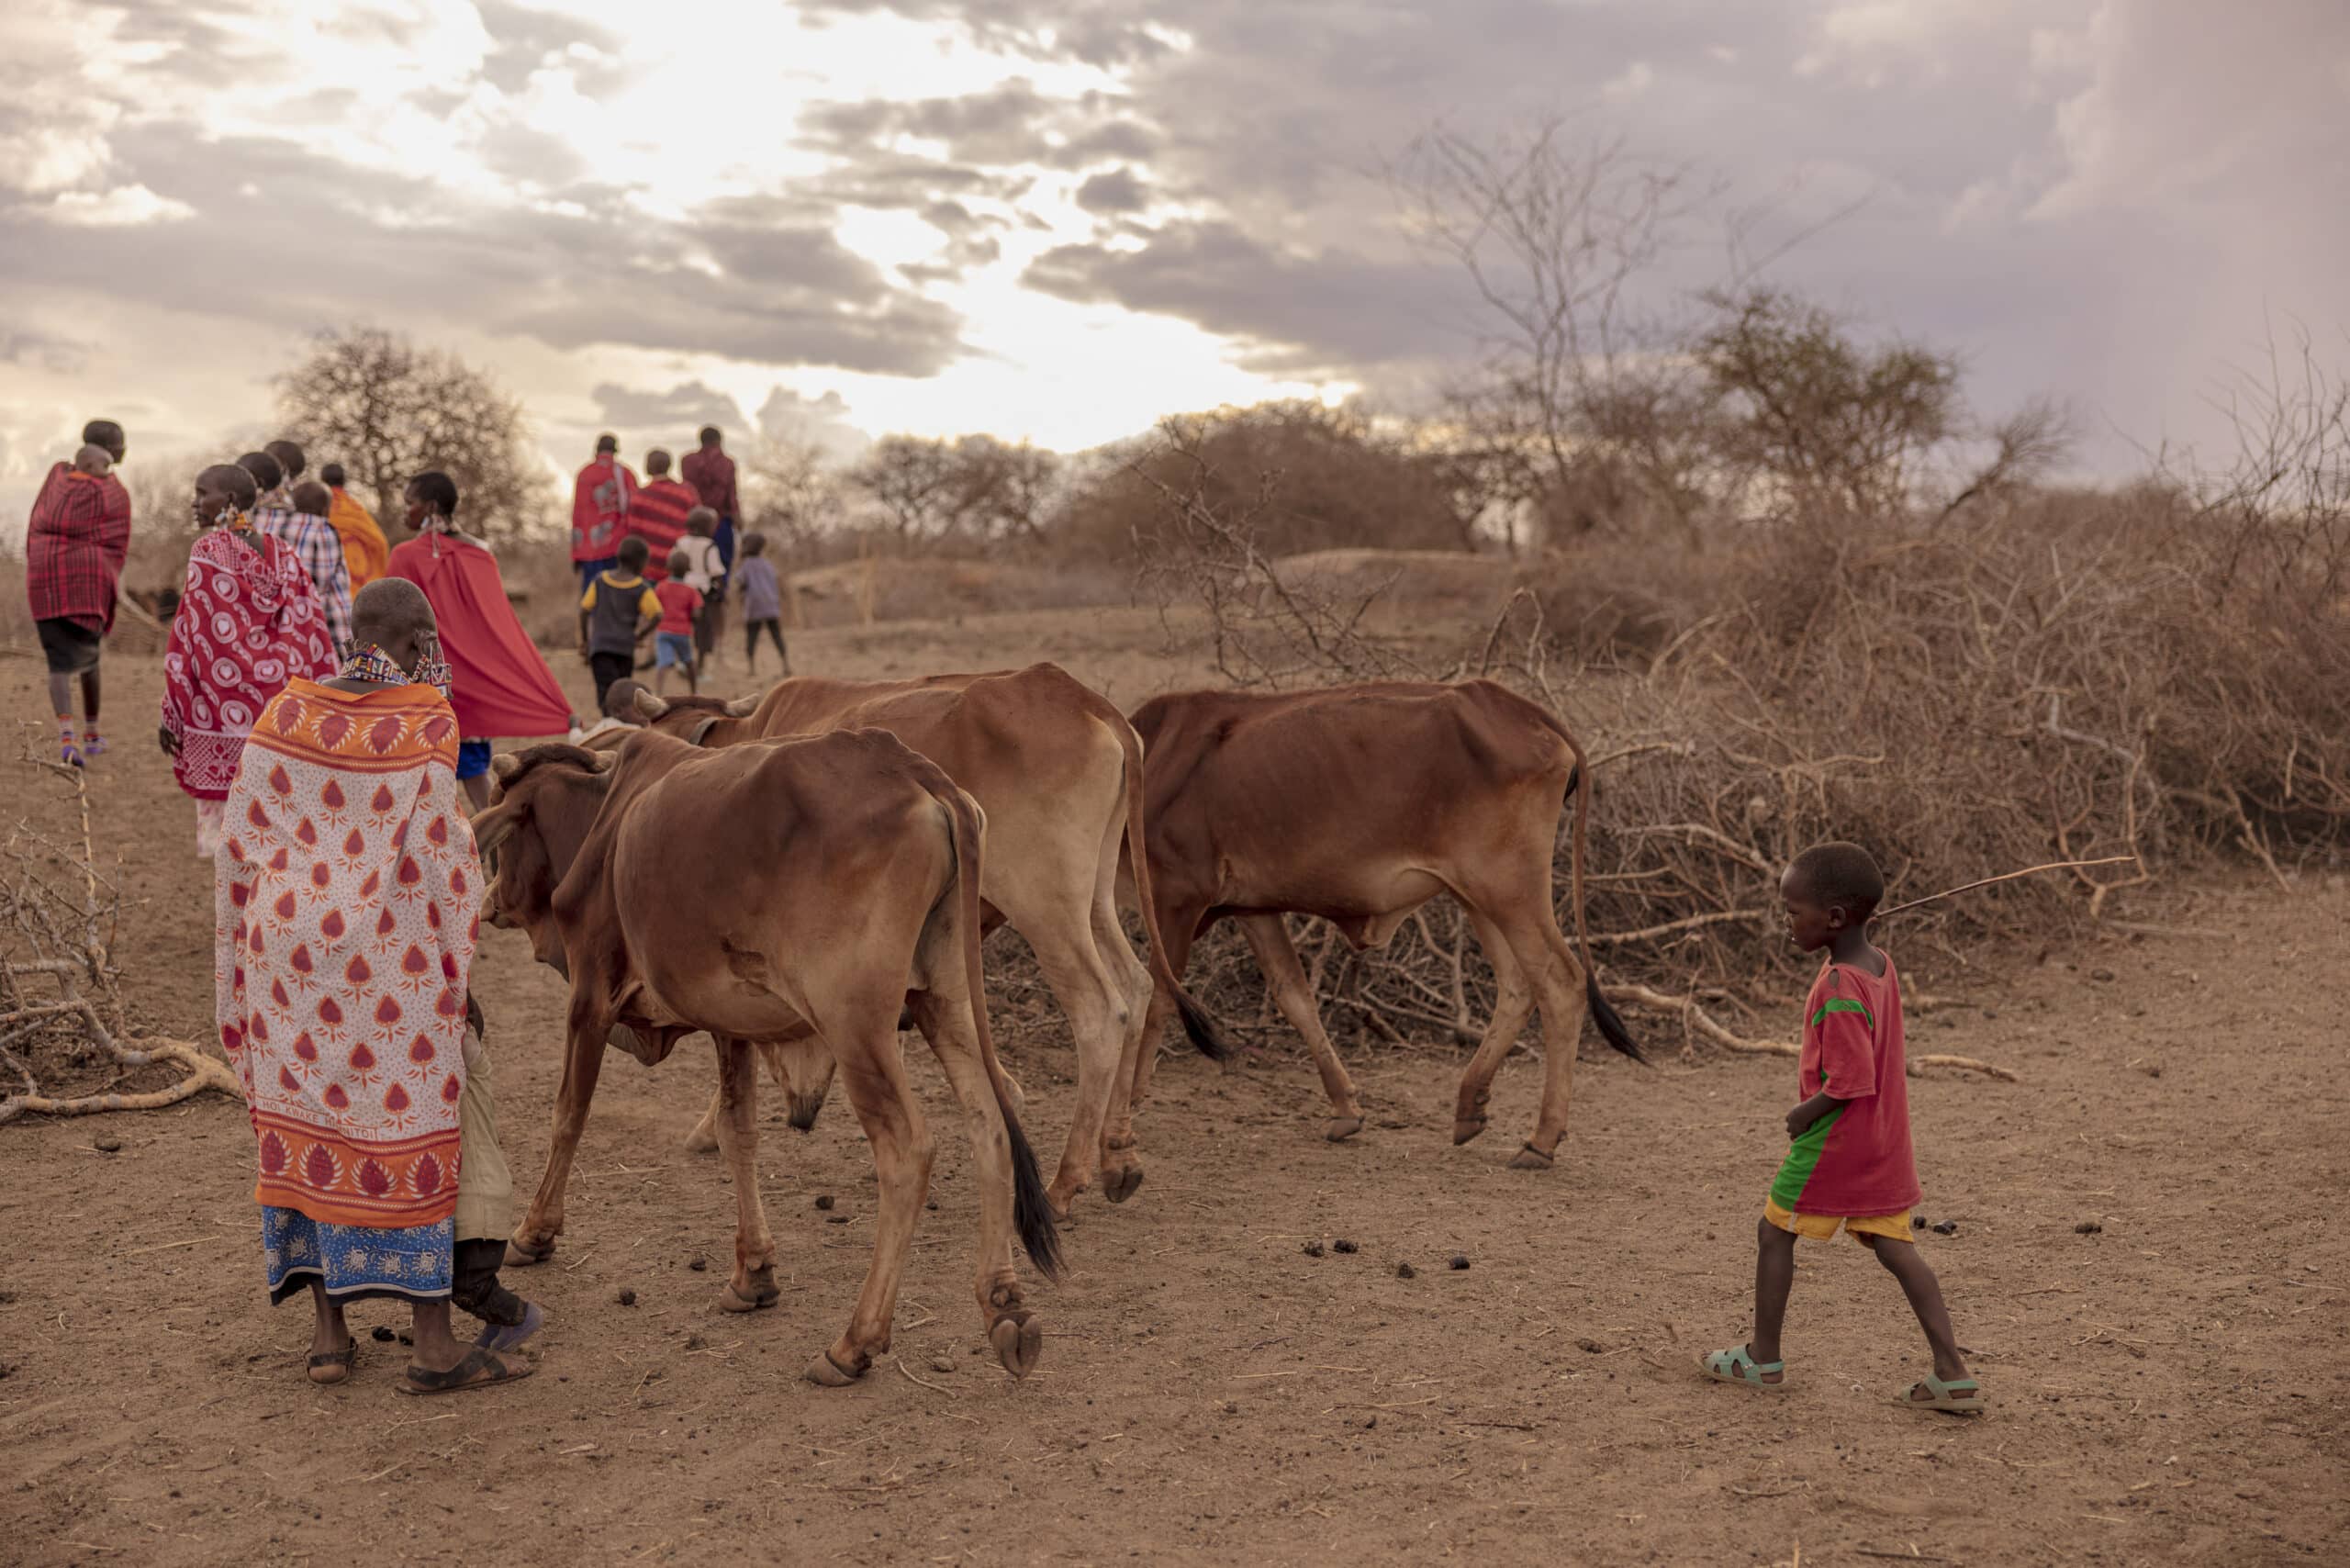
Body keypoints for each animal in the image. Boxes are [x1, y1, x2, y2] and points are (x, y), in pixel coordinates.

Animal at [467, 728, 1058, 1382]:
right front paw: (754, 1274)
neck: (602, 818)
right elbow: (738, 1132)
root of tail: (915, 770)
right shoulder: (731, 1026)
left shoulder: (589, 996)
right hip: (944, 1001)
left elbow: (568, 1115)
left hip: (857, 1025)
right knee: (990, 1121)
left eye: (504, 834)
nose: (488, 899)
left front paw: (533, 1233)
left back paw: (855, 1342)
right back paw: (1005, 1306)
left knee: (908, 1150)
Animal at [634, 663, 1240, 1213]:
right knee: (1137, 984)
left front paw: (708, 1127)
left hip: (1044, 905)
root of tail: (1075, 694)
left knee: (1101, 1009)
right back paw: (1118, 1156)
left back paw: (1066, 1182)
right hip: (1092, 899)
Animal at [1113, 681, 1635, 1170]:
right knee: (1517, 985)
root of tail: (1512, 704)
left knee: (1560, 982)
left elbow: (1158, 997)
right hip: (1477, 895)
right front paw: (1345, 1109)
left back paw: (1541, 1140)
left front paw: (1129, 1107)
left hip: (1509, 891)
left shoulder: (1176, 897)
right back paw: (1471, 1105)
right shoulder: (1253, 911)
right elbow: (1295, 996)